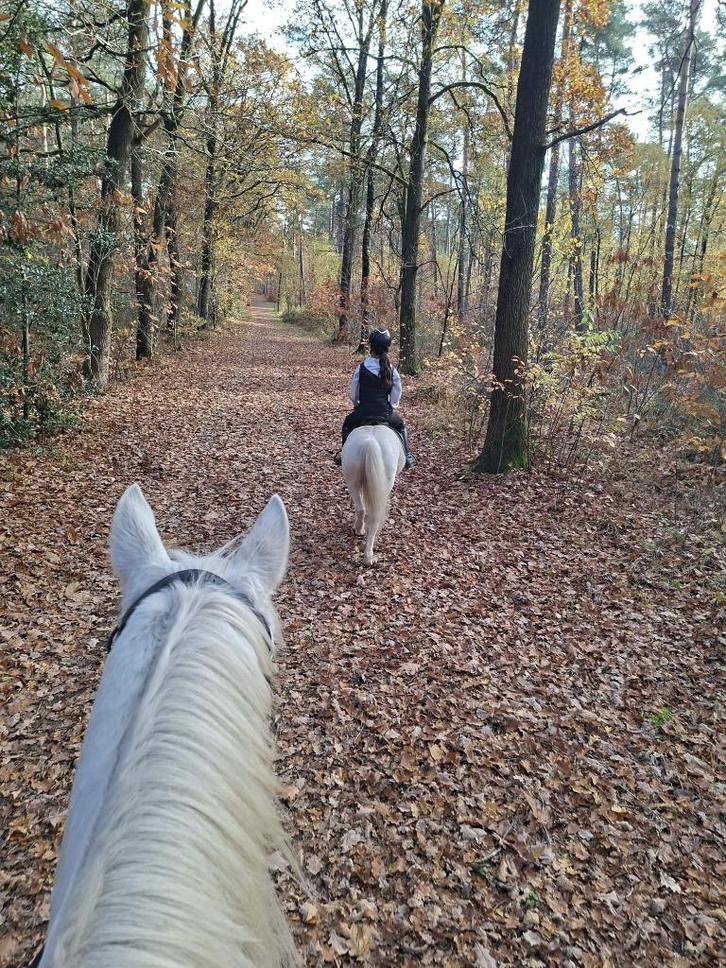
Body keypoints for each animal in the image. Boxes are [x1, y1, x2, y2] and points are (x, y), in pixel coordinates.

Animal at [341, 424, 404, 566]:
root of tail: (370, 443)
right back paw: (369, 556)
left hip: (352, 480)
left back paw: (359, 531)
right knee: (374, 518)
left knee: (360, 508)